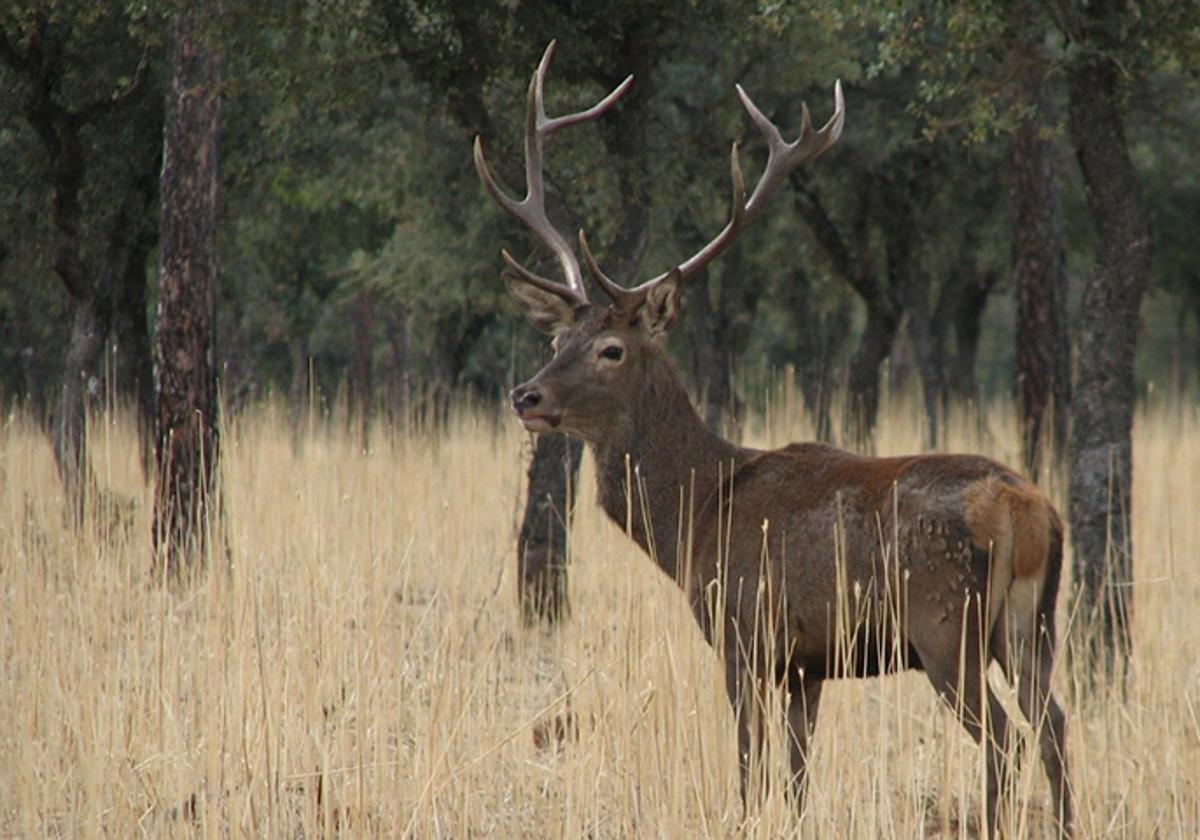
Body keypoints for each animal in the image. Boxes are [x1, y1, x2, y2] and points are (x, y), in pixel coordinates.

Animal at [475, 41, 1080, 840]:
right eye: (554, 338)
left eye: (612, 349)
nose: (527, 396)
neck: (696, 515)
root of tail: (1023, 509)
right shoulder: (807, 664)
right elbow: (795, 779)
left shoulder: (743, 632)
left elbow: (749, 767)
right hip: (1032, 622)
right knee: (1056, 726)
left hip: (946, 622)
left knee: (1007, 740)